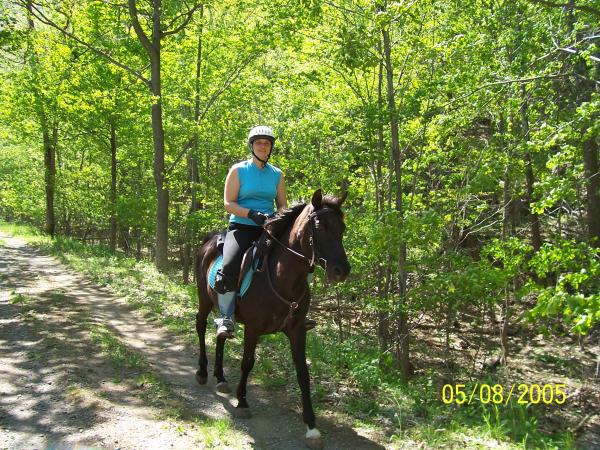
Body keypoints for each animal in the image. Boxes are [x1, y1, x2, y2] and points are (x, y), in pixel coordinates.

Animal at [195, 189, 350, 446]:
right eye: (320, 225)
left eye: (342, 227)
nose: (342, 270)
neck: (282, 276)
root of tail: (208, 241)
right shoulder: (253, 328)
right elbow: (247, 363)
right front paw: (242, 402)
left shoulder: (297, 331)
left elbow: (303, 374)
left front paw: (311, 426)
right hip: (204, 300)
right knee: (200, 326)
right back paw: (202, 372)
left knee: (221, 335)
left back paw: (221, 378)